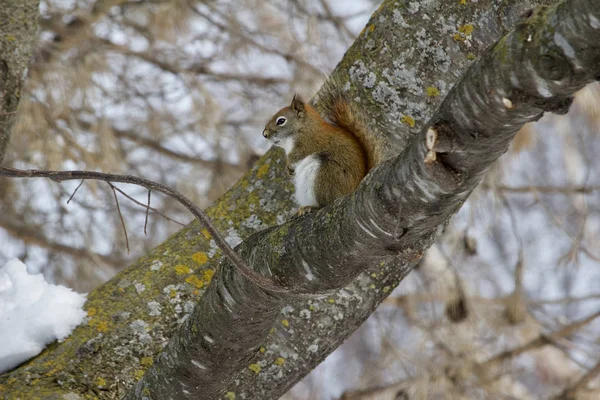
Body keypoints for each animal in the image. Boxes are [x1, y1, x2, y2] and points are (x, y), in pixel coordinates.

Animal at [262, 85, 384, 214]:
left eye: (281, 121)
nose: (264, 134)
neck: (303, 127)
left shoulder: (310, 143)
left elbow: (297, 155)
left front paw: (289, 165)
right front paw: (289, 170)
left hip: (325, 175)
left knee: (325, 202)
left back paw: (311, 207)